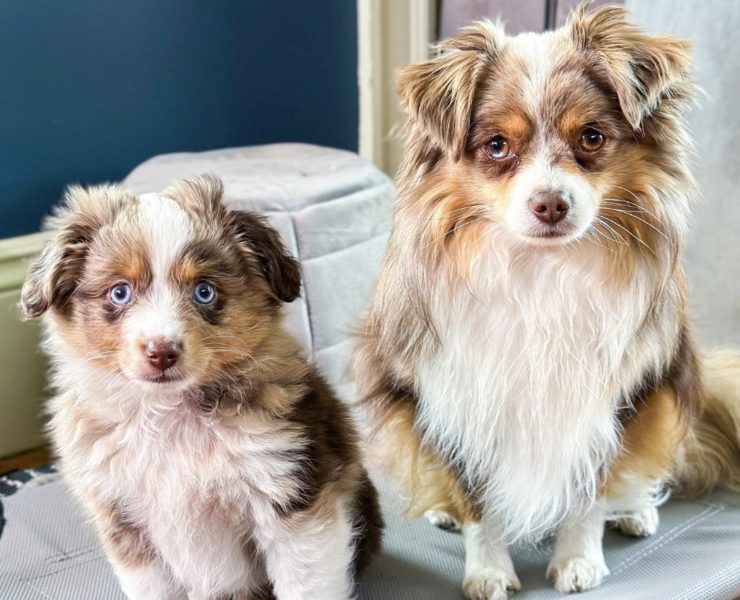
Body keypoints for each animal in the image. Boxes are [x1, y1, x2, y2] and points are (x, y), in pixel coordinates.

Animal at [21, 176, 382, 600]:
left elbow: (305, 586)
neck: (170, 413)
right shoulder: (125, 524)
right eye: (119, 292)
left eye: (204, 291)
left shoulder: (294, 505)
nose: (161, 352)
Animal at [352, 5, 740, 598]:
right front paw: (488, 570)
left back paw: (636, 510)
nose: (551, 204)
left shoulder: (612, 395)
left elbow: (590, 487)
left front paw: (579, 559)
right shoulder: (452, 389)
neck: (541, 270)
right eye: (496, 146)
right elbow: (475, 497)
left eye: (592, 137)